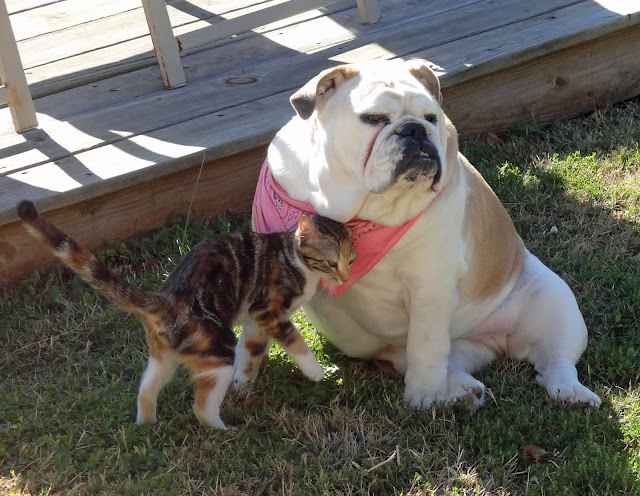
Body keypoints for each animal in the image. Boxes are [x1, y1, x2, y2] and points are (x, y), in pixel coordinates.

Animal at [17, 200, 356, 429]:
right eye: (330, 262)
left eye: (350, 260)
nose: (345, 276)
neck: (293, 257)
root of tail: (164, 299)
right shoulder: (266, 310)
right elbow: (294, 340)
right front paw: (315, 372)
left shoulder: (256, 322)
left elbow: (251, 352)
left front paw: (244, 383)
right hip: (217, 349)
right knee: (202, 407)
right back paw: (224, 430)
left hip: (163, 355)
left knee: (146, 388)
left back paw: (146, 426)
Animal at [240, 59, 601, 410]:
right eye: (373, 119)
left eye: (431, 118)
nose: (415, 129)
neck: (353, 213)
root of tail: (491, 342)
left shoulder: (430, 286)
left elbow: (426, 346)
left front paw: (424, 395)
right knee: (443, 361)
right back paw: (461, 391)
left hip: (556, 302)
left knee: (554, 363)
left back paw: (571, 394)